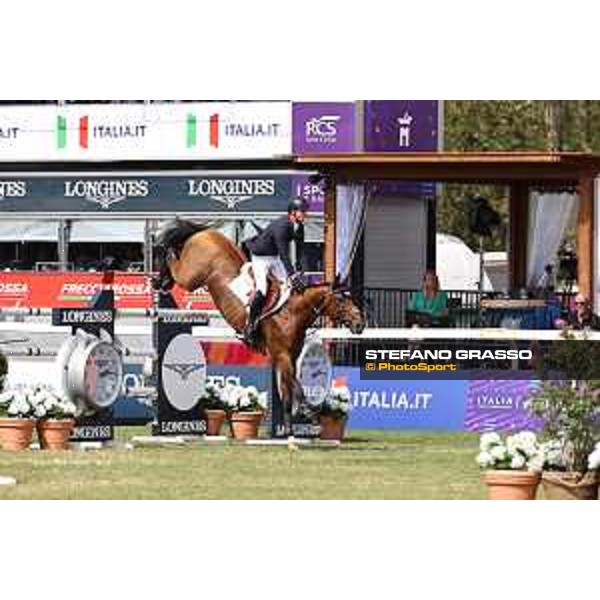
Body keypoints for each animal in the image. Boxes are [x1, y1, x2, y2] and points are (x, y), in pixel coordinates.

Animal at [152, 220, 364, 436]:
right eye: (341, 299)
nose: (360, 324)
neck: (292, 313)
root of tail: (206, 232)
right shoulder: (282, 355)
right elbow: (295, 390)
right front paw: (303, 419)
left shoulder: (290, 357)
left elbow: (291, 390)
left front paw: (294, 425)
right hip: (191, 277)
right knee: (173, 258)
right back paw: (160, 274)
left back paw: (163, 278)